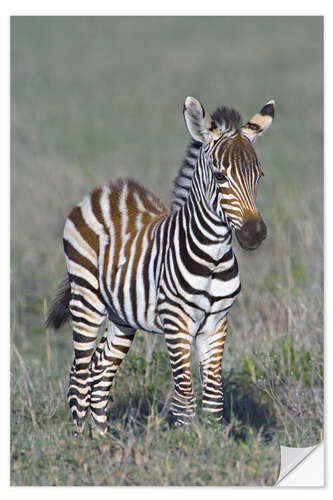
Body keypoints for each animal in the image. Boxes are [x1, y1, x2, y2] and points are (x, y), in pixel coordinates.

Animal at [47, 95, 274, 432]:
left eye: (259, 176)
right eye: (220, 176)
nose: (254, 234)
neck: (213, 258)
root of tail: (105, 190)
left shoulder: (217, 322)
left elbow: (213, 399)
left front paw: (211, 440)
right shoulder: (176, 320)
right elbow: (185, 399)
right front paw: (186, 441)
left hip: (122, 316)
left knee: (101, 370)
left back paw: (99, 439)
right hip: (87, 299)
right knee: (80, 373)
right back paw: (80, 441)